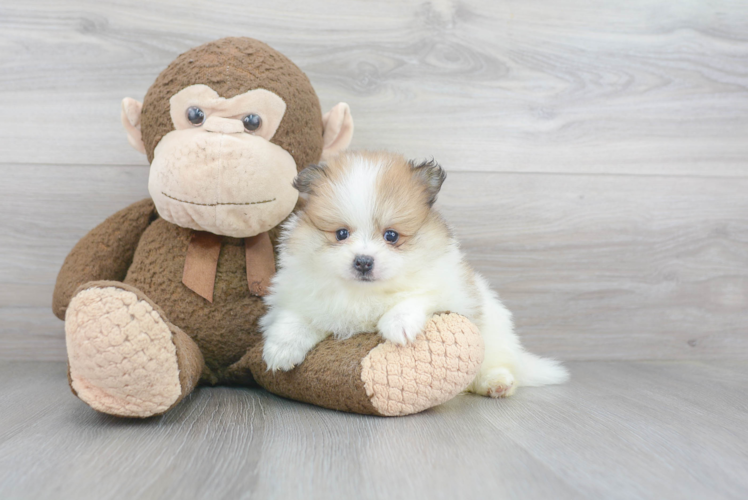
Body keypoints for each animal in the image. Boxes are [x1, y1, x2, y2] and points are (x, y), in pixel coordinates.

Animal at [262, 150, 568, 396]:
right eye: (341, 234)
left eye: (391, 236)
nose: (363, 261)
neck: (365, 293)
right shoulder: (301, 294)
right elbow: (294, 317)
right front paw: (280, 349)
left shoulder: (449, 289)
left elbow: (417, 296)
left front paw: (398, 324)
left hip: (492, 335)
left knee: (493, 365)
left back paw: (497, 383)